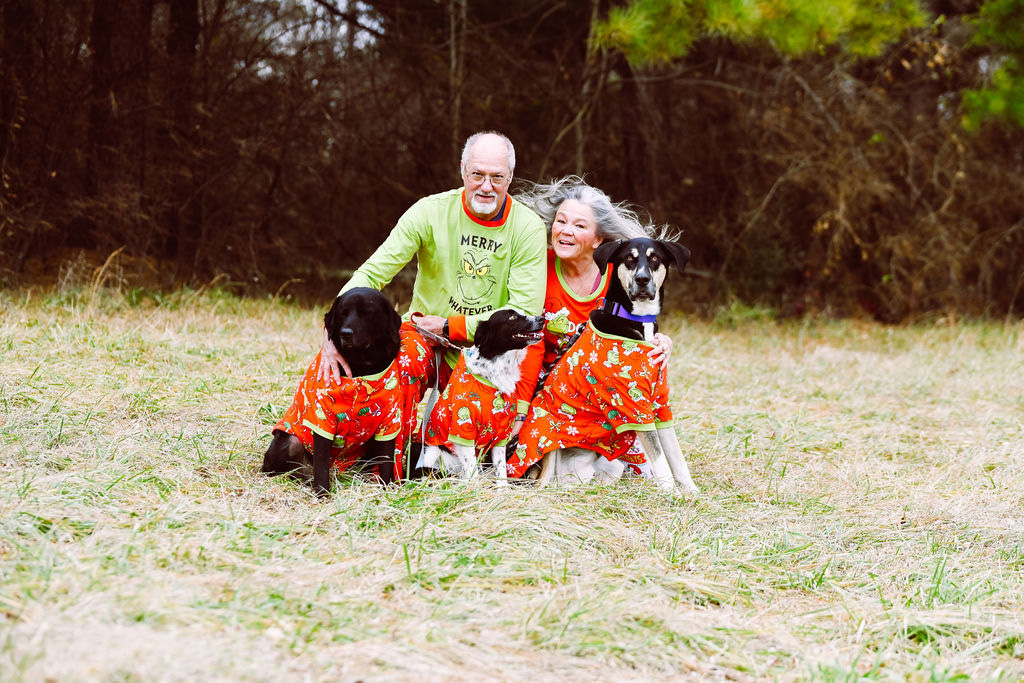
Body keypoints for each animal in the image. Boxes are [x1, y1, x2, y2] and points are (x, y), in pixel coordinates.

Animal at [262, 286, 401, 493]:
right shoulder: (322, 421)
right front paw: (322, 492)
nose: (346, 333)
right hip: (291, 443)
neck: (362, 368)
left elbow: (386, 461)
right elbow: (321, 465)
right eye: (343, 313)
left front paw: (387, 489)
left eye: (367, 313)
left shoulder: (389, 422)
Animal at [516, 237, 700, 493]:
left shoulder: (659, 403)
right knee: (544, 481)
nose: (642, 279)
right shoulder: (633, 407)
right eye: (629, 258)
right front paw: (672, 493)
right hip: (547, 446)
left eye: (654, 258)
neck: (636, 319)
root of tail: (570, 476)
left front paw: (692, 492)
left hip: (614, 466)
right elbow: (661, 459)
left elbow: (676, 456)